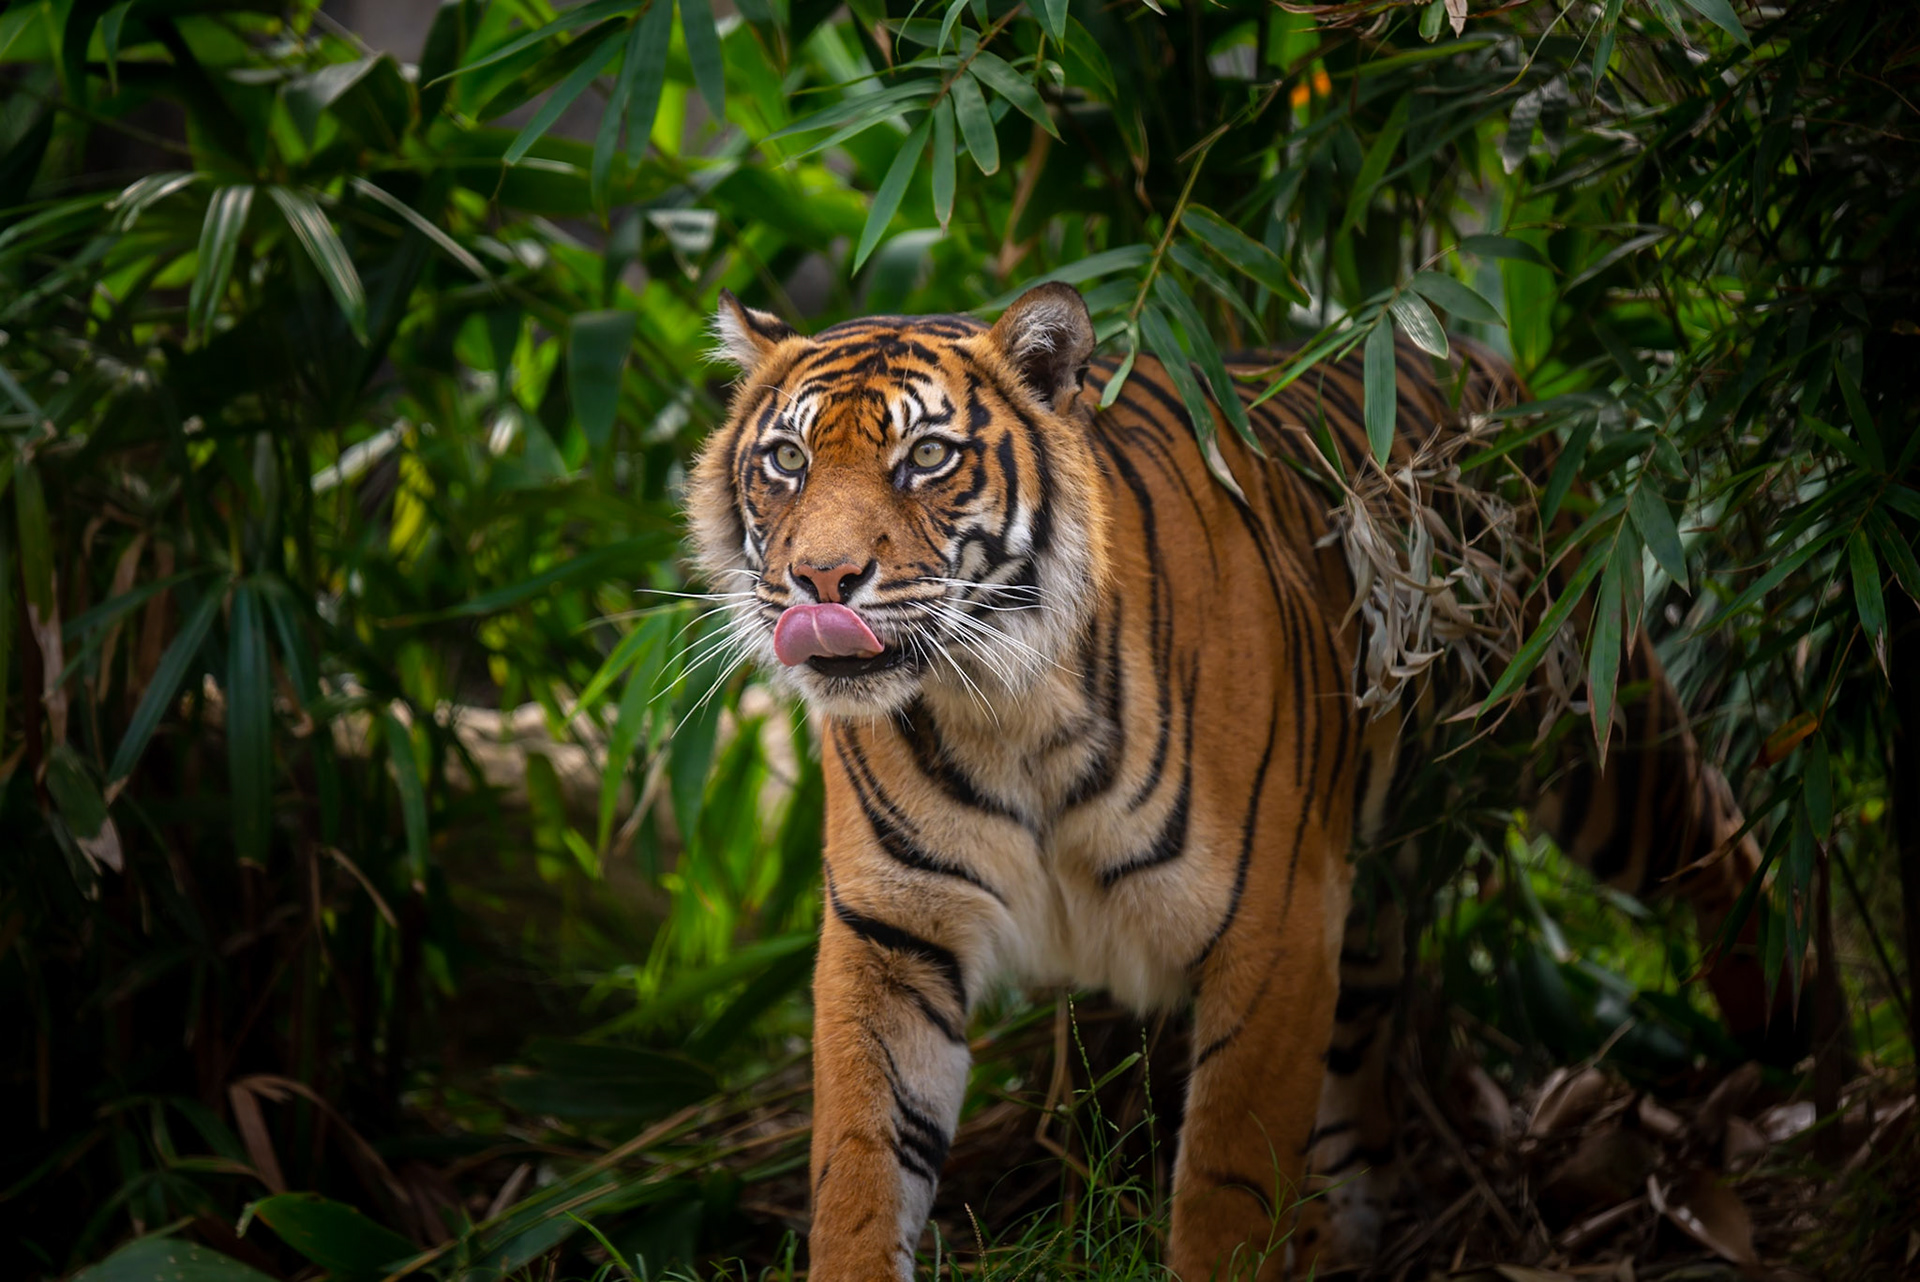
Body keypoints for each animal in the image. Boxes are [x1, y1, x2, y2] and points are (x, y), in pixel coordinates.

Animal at [686, 281, 1773, 1279]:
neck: (997, 708)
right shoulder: (892, 935)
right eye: (787, 461)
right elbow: (861, 1166)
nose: (823, 581)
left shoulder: (1272, 925)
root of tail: (1484, 355)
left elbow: (1227, 1181)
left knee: (1726, 843)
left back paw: (1786, 1061)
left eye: (927, 458)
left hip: (1593, 727)